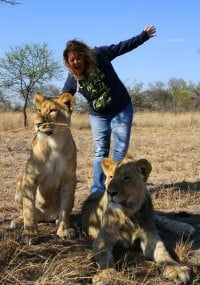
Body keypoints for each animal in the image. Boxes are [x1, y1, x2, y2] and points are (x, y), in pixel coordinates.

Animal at [10, 92, 77, 243]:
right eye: (38, 110)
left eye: (52, 110)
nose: (37, 124)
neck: (55, 144)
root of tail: (45, 217)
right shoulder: (30, 177)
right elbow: (28, 207)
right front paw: (30, 233)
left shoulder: (69, 179)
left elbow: (66, 208)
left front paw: (64, 230)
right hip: (20, 182)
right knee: (25, 212)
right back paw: (18, 221)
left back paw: (58, 222)